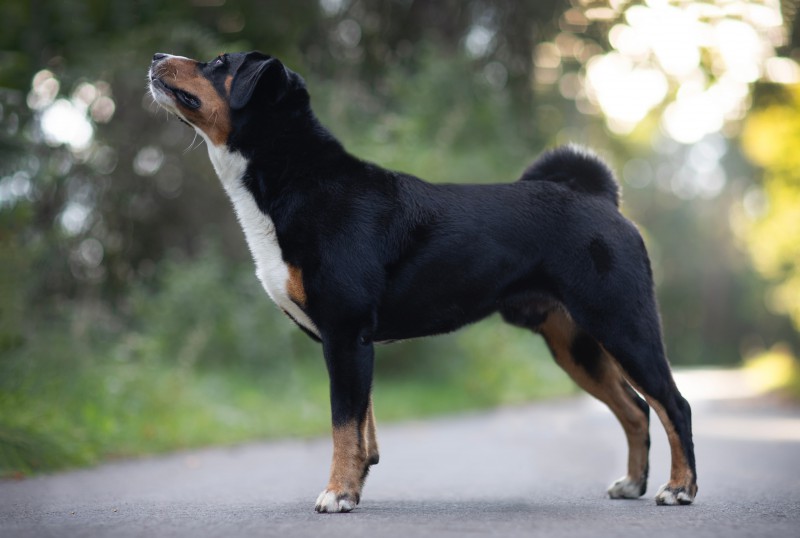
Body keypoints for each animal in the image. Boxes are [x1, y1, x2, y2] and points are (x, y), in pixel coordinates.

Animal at [148, 51, 697, 512]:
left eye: (220, 63)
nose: (157, 57)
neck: (295, 179)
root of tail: (601, 199)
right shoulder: (351, 341)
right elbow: (362, 428)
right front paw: (355, 486)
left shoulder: (345, 334)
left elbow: (343, 425)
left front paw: (337, 494)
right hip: (577, 345)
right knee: (636, 409)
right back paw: (633, 484)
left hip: (623, 324)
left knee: (674, 404)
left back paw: (678, 489)